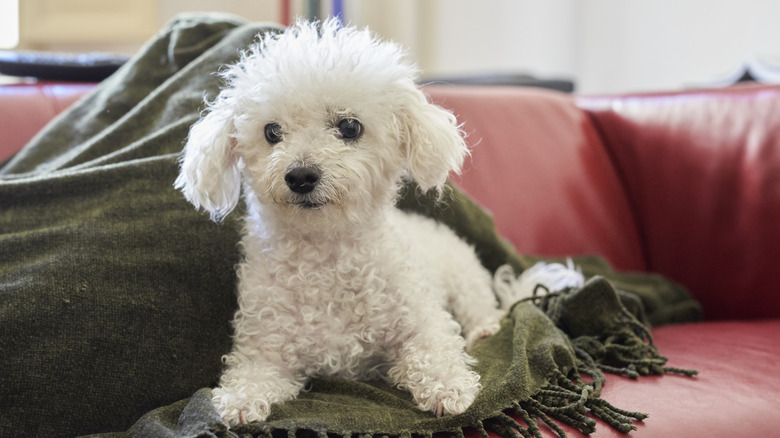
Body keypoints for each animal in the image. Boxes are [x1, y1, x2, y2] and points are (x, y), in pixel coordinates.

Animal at [175, 18, 506, 426]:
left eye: (349, 127)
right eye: (272, 132)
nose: (300, 176)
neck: (326, 251)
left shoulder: (422, 318)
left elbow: (435, 347)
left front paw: (447, 387)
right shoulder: (265, 347)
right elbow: (252, 373)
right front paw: (239, 399)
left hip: (464, 277)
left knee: (481, 309)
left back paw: (485, 330)